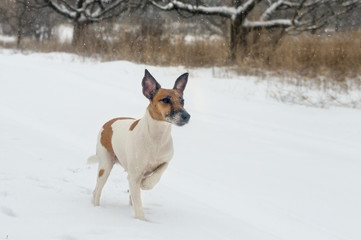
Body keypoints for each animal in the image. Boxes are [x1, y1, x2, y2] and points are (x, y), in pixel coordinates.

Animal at [88, 69, 190, 219]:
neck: (157, 137)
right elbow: (138, 205)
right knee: (97, 191)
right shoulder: (134, 176)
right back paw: (96, 208)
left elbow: (159, 172)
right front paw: (141, 221)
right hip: (105, 165)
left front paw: (146, 184)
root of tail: (108, 123)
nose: (186, 116)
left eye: (182, 101)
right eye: (166, 100)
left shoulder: (165, 161)